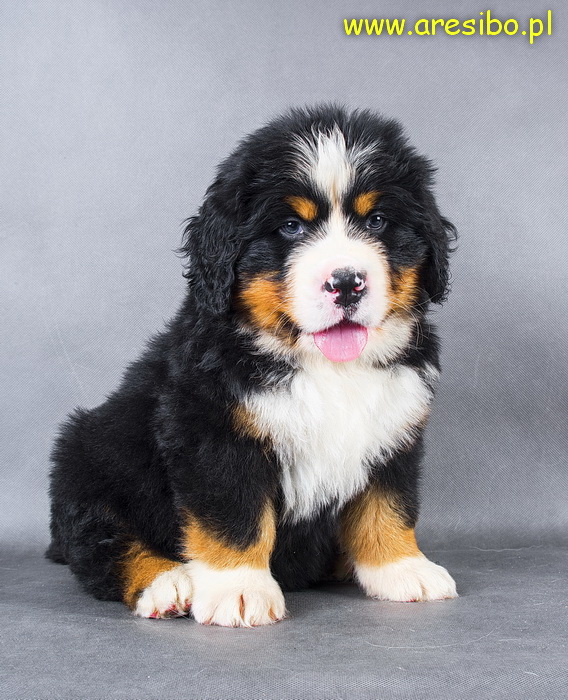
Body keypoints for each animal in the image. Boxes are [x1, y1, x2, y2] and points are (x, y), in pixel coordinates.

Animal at [47, 105, 458, 627]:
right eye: (291, 227)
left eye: (378, 220)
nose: (347, 281)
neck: (326, 367)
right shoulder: (213, 433)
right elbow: (235, 517)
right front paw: (239, 590)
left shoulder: (394, 427)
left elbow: (388, 506)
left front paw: (402, 568)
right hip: (89, 459)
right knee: (104, 544)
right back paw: (168, 583)